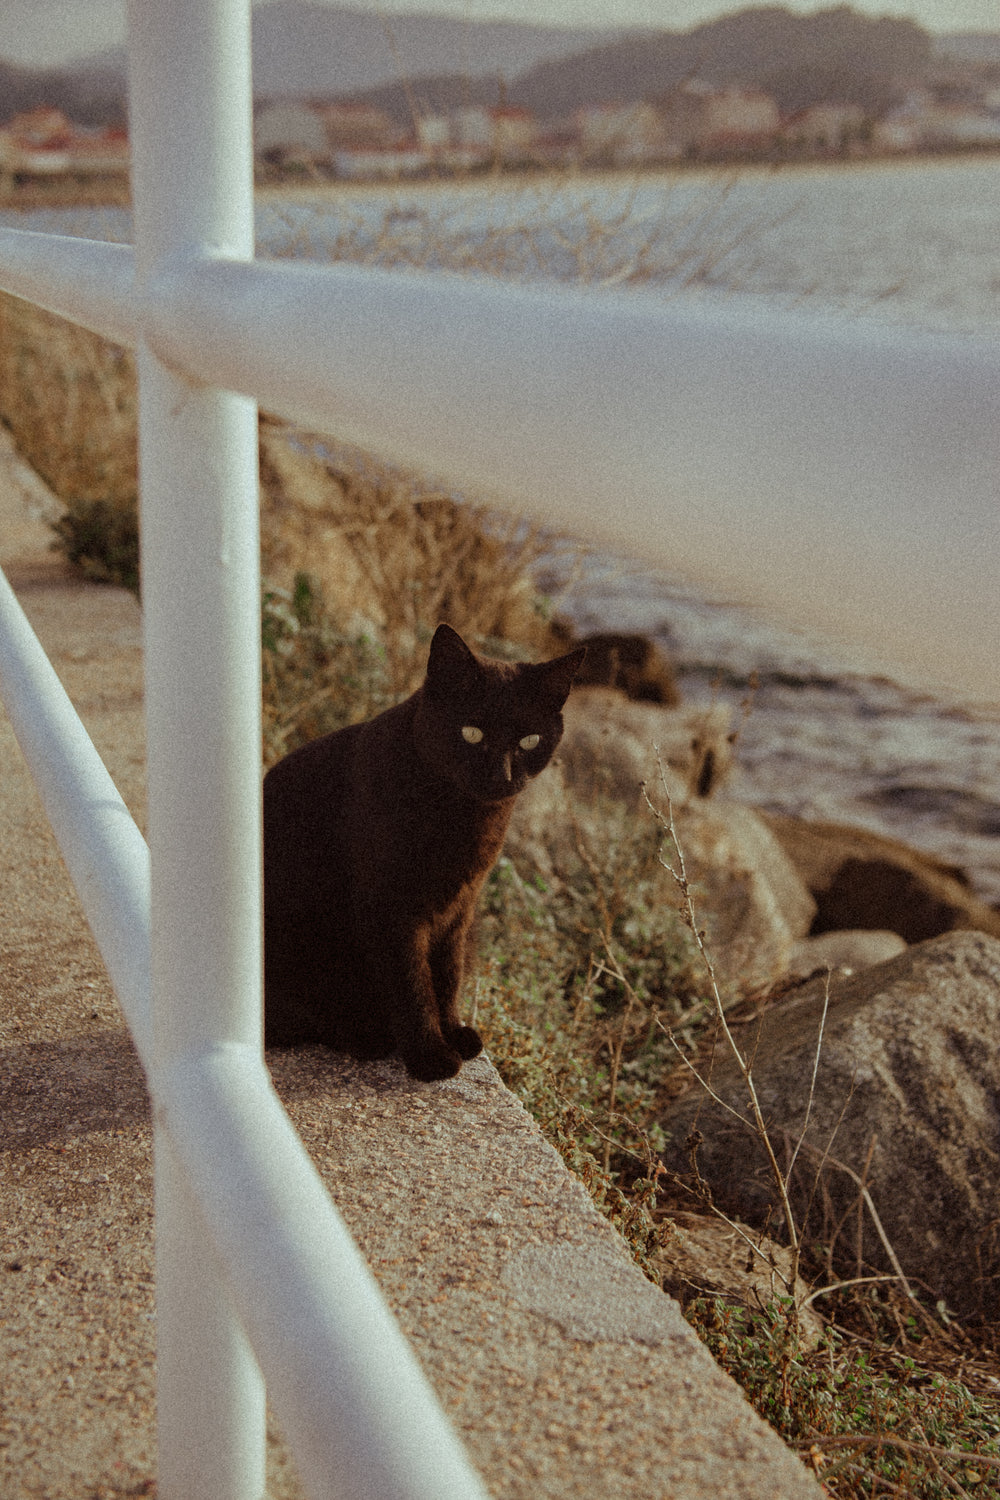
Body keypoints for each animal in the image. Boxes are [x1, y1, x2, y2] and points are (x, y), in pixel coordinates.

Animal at [265, 621, 587, 1080]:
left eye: (529, 741)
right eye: (471, 733)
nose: (501, 776)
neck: (462, 818)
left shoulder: (460, 906)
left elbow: (447, 974)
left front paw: (452, 1031)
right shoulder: (394, 910)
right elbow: (413, 983)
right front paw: (431, 1055)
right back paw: (368, 1037)